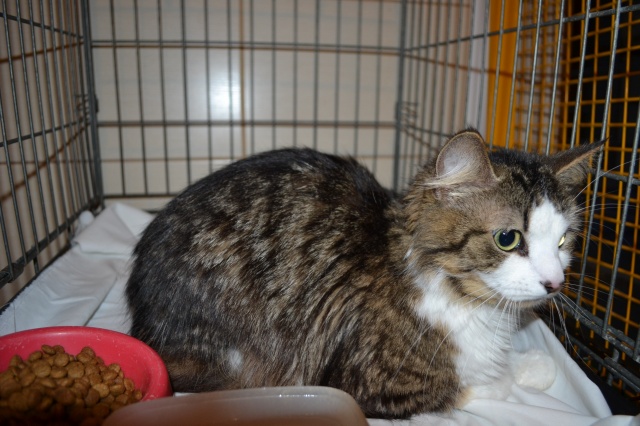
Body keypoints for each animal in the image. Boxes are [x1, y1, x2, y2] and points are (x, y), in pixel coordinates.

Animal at [125, 129, 603, 419]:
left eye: (563, 241)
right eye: (507, 238)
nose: (555, 283)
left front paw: (529, 362)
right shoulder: (368, 383)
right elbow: (471, 385)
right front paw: (508, 375)